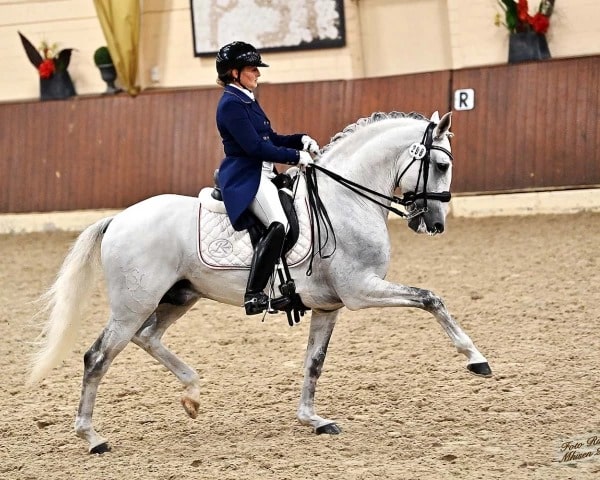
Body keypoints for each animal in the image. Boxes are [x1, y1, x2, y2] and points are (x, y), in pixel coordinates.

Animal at [28, 110, 492, 452]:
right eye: (442, 164)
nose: (434, 224)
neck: (346, 200)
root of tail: (118, 219)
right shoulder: (361, 290)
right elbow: (431, 298)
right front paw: (476, 360)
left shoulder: (330, 305)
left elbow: (314, 362)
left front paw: (312, 419)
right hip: (133, 305)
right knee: (98, 357)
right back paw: (92, 437)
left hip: (178, 297)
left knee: (148, 337)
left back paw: (192, 394)